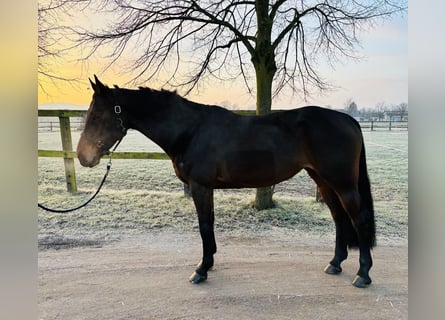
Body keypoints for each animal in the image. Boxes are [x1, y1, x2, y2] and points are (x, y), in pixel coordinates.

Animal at [77, 76, 374, 288]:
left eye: (98, 115)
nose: (83, 156)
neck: (190, 130)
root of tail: (348, 119)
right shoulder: (205, 188)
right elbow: (209, 224)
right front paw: (208, 264)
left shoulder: (199, 186)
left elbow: (204, 226)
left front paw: (201, 270)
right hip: (323, 181)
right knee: (339, 218)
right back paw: (335, 264)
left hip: (343, 184)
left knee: (357, 219)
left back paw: (363, 274)